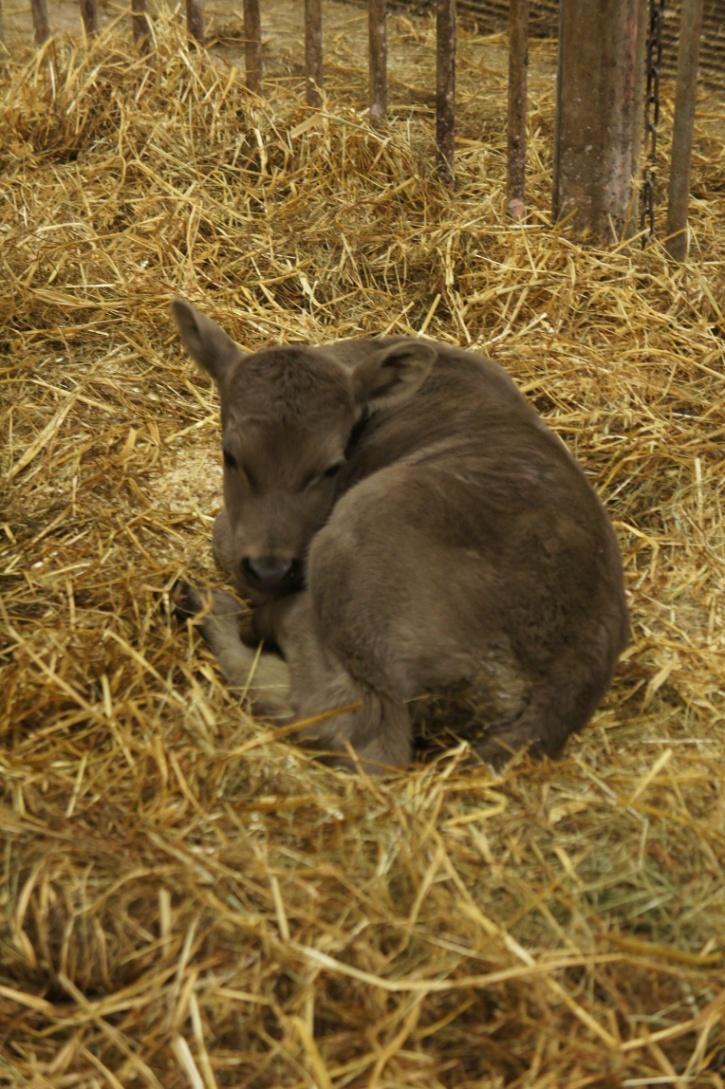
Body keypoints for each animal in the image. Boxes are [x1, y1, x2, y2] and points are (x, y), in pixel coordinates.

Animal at [170, 300, 627, 775]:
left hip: (366, 528)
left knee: (365, 732)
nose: (269, 568)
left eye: (332, 467)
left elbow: (221, 535)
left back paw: (225, 612)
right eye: (231, 455)